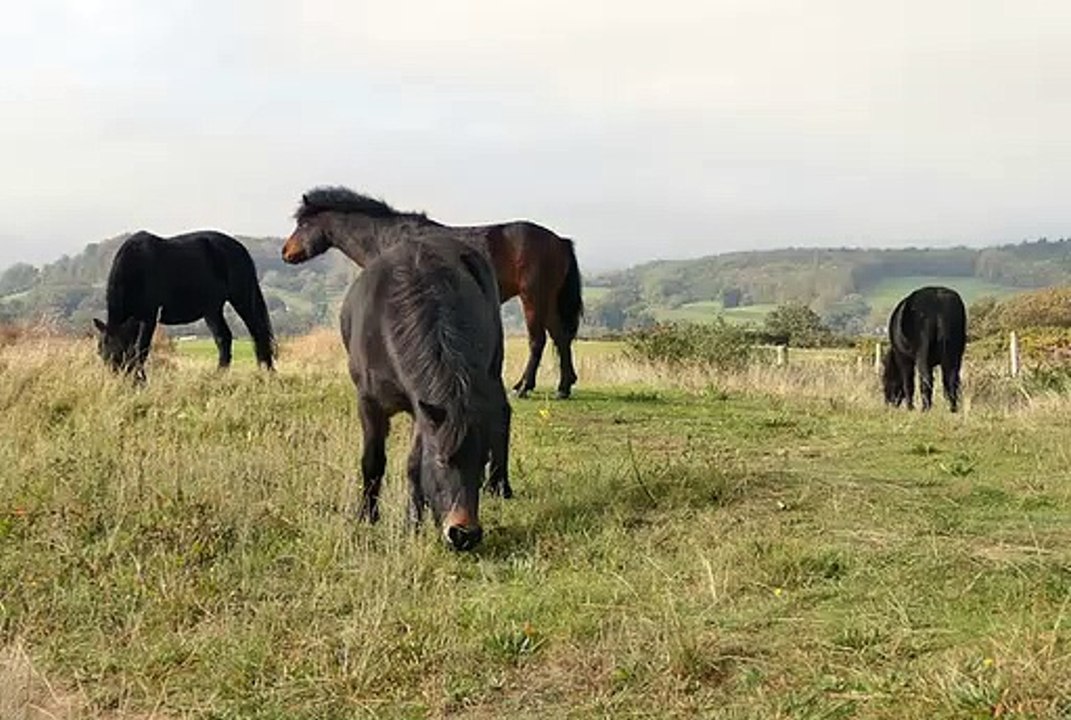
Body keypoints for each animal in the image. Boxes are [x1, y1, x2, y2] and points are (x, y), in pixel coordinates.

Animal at [93, 230, 276, 380]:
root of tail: (241, 249)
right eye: (101, 353)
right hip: (212, 309)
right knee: (224, 338)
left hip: (242, 299)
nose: (116, 380)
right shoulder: (135, 321)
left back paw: (267, 371)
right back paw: (218, 375)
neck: (136, 267)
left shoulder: (149, 317)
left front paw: (142, 379)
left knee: (258, 333)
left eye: (119, 353)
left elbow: (141, 349)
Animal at [281, 186, 583, 398]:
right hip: (548, 301)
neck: (388, 239)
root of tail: (559, 241)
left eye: (303, 225)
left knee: (538, 341)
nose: (285, 252)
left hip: (534, 298)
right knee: (561, 338)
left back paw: (524, 387)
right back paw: (563, 387)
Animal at [301, 218, 511, 550]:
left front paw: (412, 522)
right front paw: (369, 516)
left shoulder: (421, 409)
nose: (464, 534)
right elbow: (374, 461)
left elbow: (412, 465)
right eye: (441, 460)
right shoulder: (374, 404)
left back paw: (501, 486)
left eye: (480, 462)